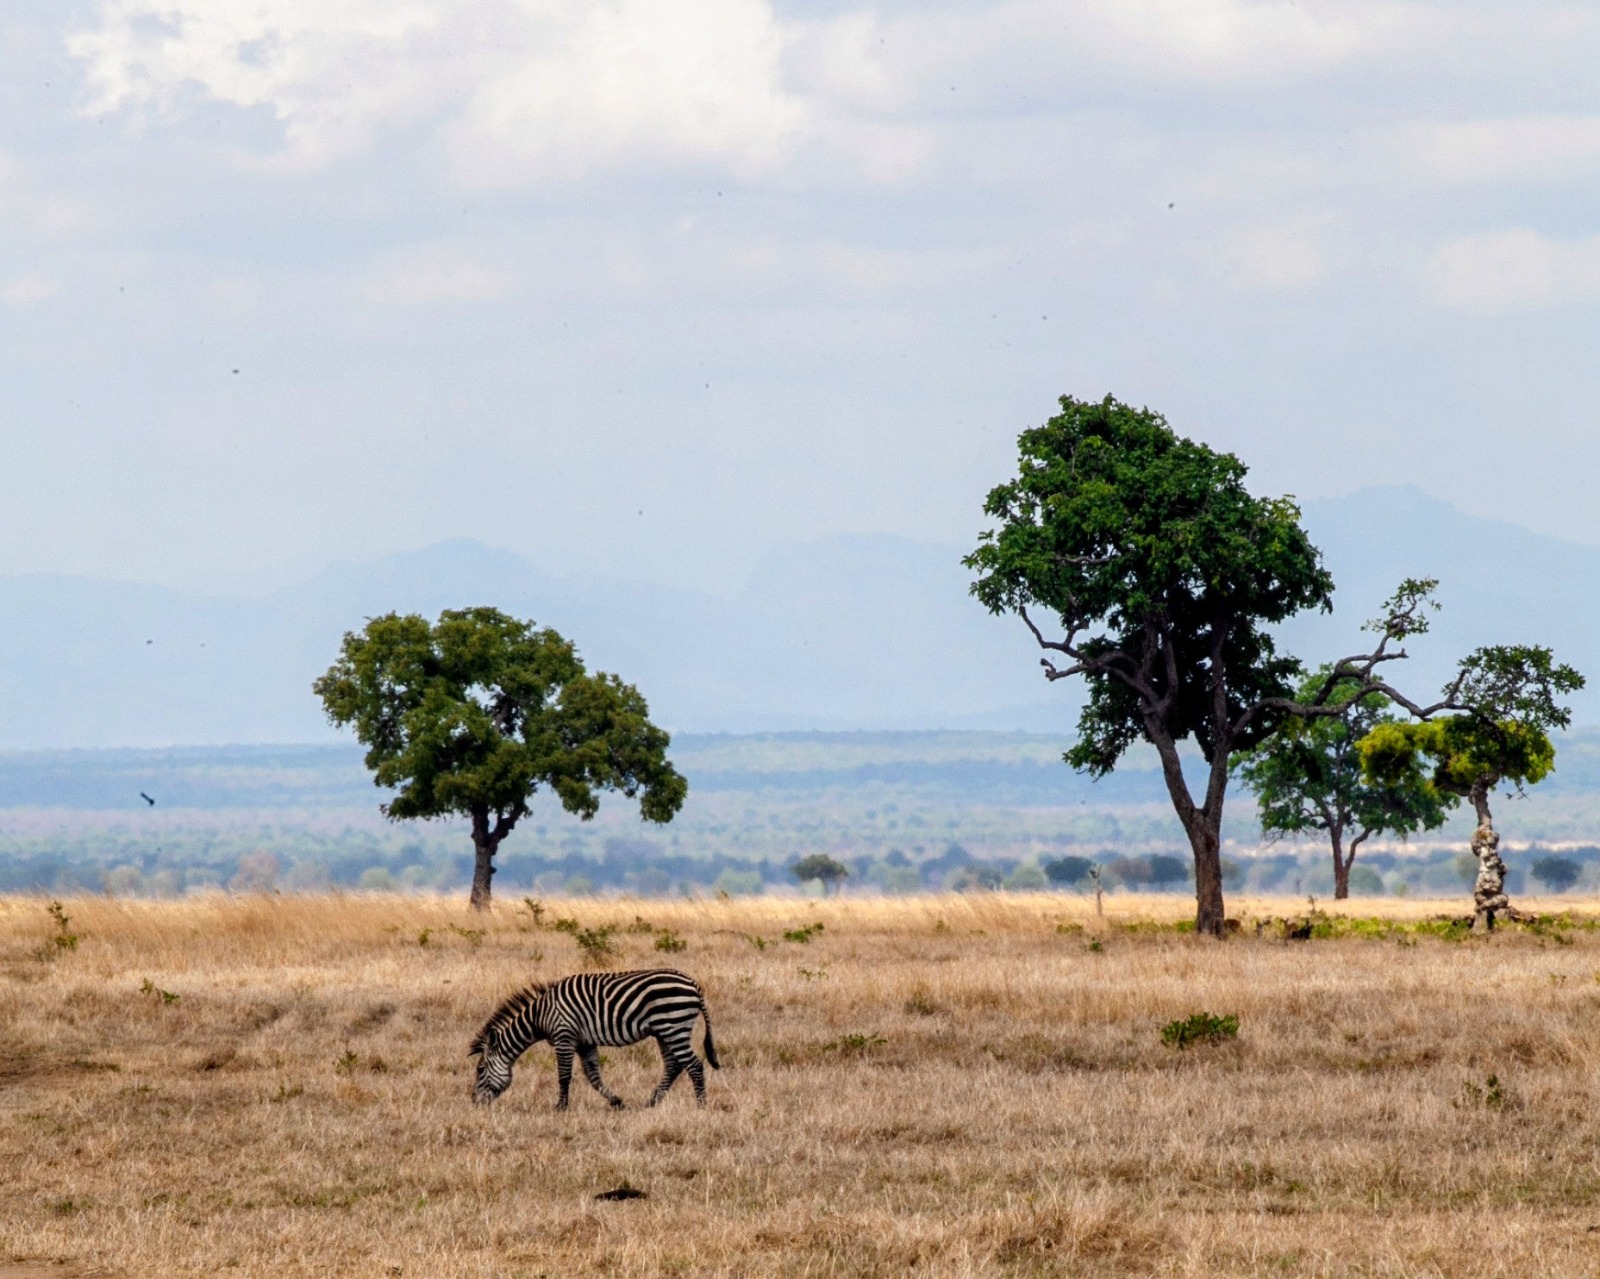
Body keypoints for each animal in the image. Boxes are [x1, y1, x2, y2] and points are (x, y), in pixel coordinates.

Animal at [470, 968, 719, 1109]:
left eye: (480, 1069)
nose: (474, 1102)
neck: (540, 1016)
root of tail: (693, 984)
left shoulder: (564, 1036)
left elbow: (564, 1075)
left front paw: (560, 1106)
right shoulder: (585, 1042)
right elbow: (593, 1076)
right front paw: (617, 1102)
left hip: (673, 1026)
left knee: (694, 1064)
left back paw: (701, 1105)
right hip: (665, 1031)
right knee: (673, 1065)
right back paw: (652, 1102)